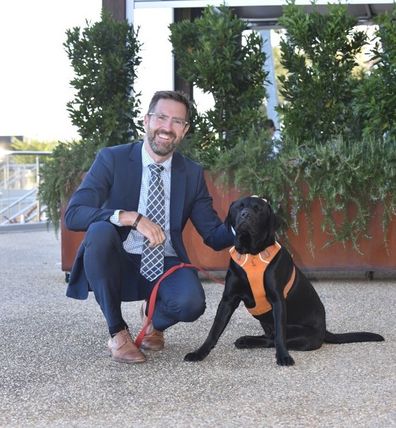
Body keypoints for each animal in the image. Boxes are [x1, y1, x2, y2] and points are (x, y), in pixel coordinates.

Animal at [185, 196, 384, 366]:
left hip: (301, 335)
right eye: (238, 207)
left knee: (274, 339)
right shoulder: (228, 299)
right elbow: (214, 330)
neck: (252, 255)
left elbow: (280, 335)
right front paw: (199, 353)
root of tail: (324, 330)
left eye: (257, 209)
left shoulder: (277, 300)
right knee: (269, 337)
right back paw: (246, 340)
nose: (245, 215)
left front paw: (283, 357)